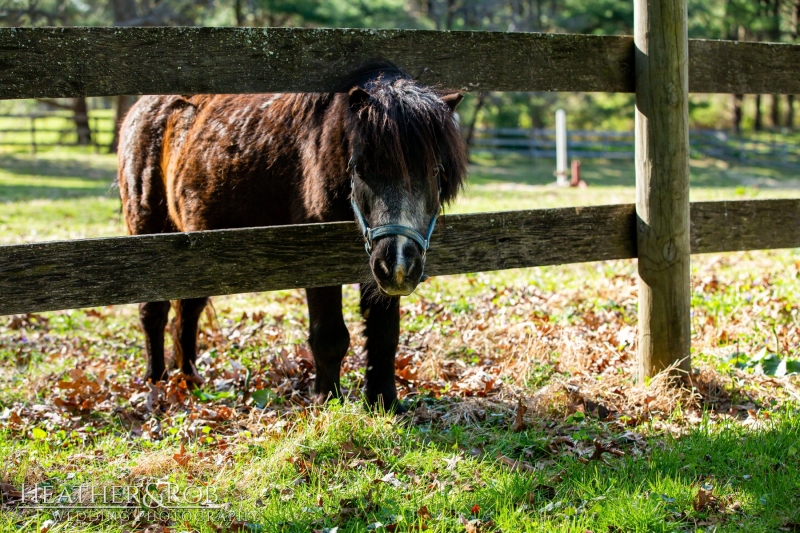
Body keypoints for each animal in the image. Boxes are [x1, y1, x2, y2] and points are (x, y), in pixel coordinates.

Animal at [119, 64, 468, 410]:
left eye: (434, 171)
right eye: (361, 168)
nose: (398, 263)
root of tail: (141, 108)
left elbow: (384, 334)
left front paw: (384, 401)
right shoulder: (318, 257)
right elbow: (330, 336)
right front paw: (327, 400)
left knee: (188, 312)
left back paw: (189, 380)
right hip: (151, 232)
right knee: (153, 313)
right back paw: (156, 382)